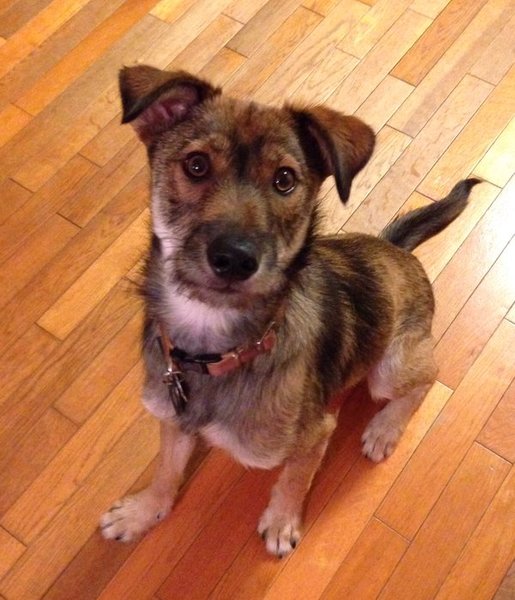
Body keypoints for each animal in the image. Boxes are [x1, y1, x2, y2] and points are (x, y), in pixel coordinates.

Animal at [100, 65, 479, 557]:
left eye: (284, 180)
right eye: (196, 165)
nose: (235, 258)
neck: (217, 346)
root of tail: (395, 248)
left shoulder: (315, 433)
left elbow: (294, 480)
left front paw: (282, 523)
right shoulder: (173, 419)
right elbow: (166, 470)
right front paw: (143, 512)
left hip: (390, 366)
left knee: (428, 377)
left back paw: (384, 428)